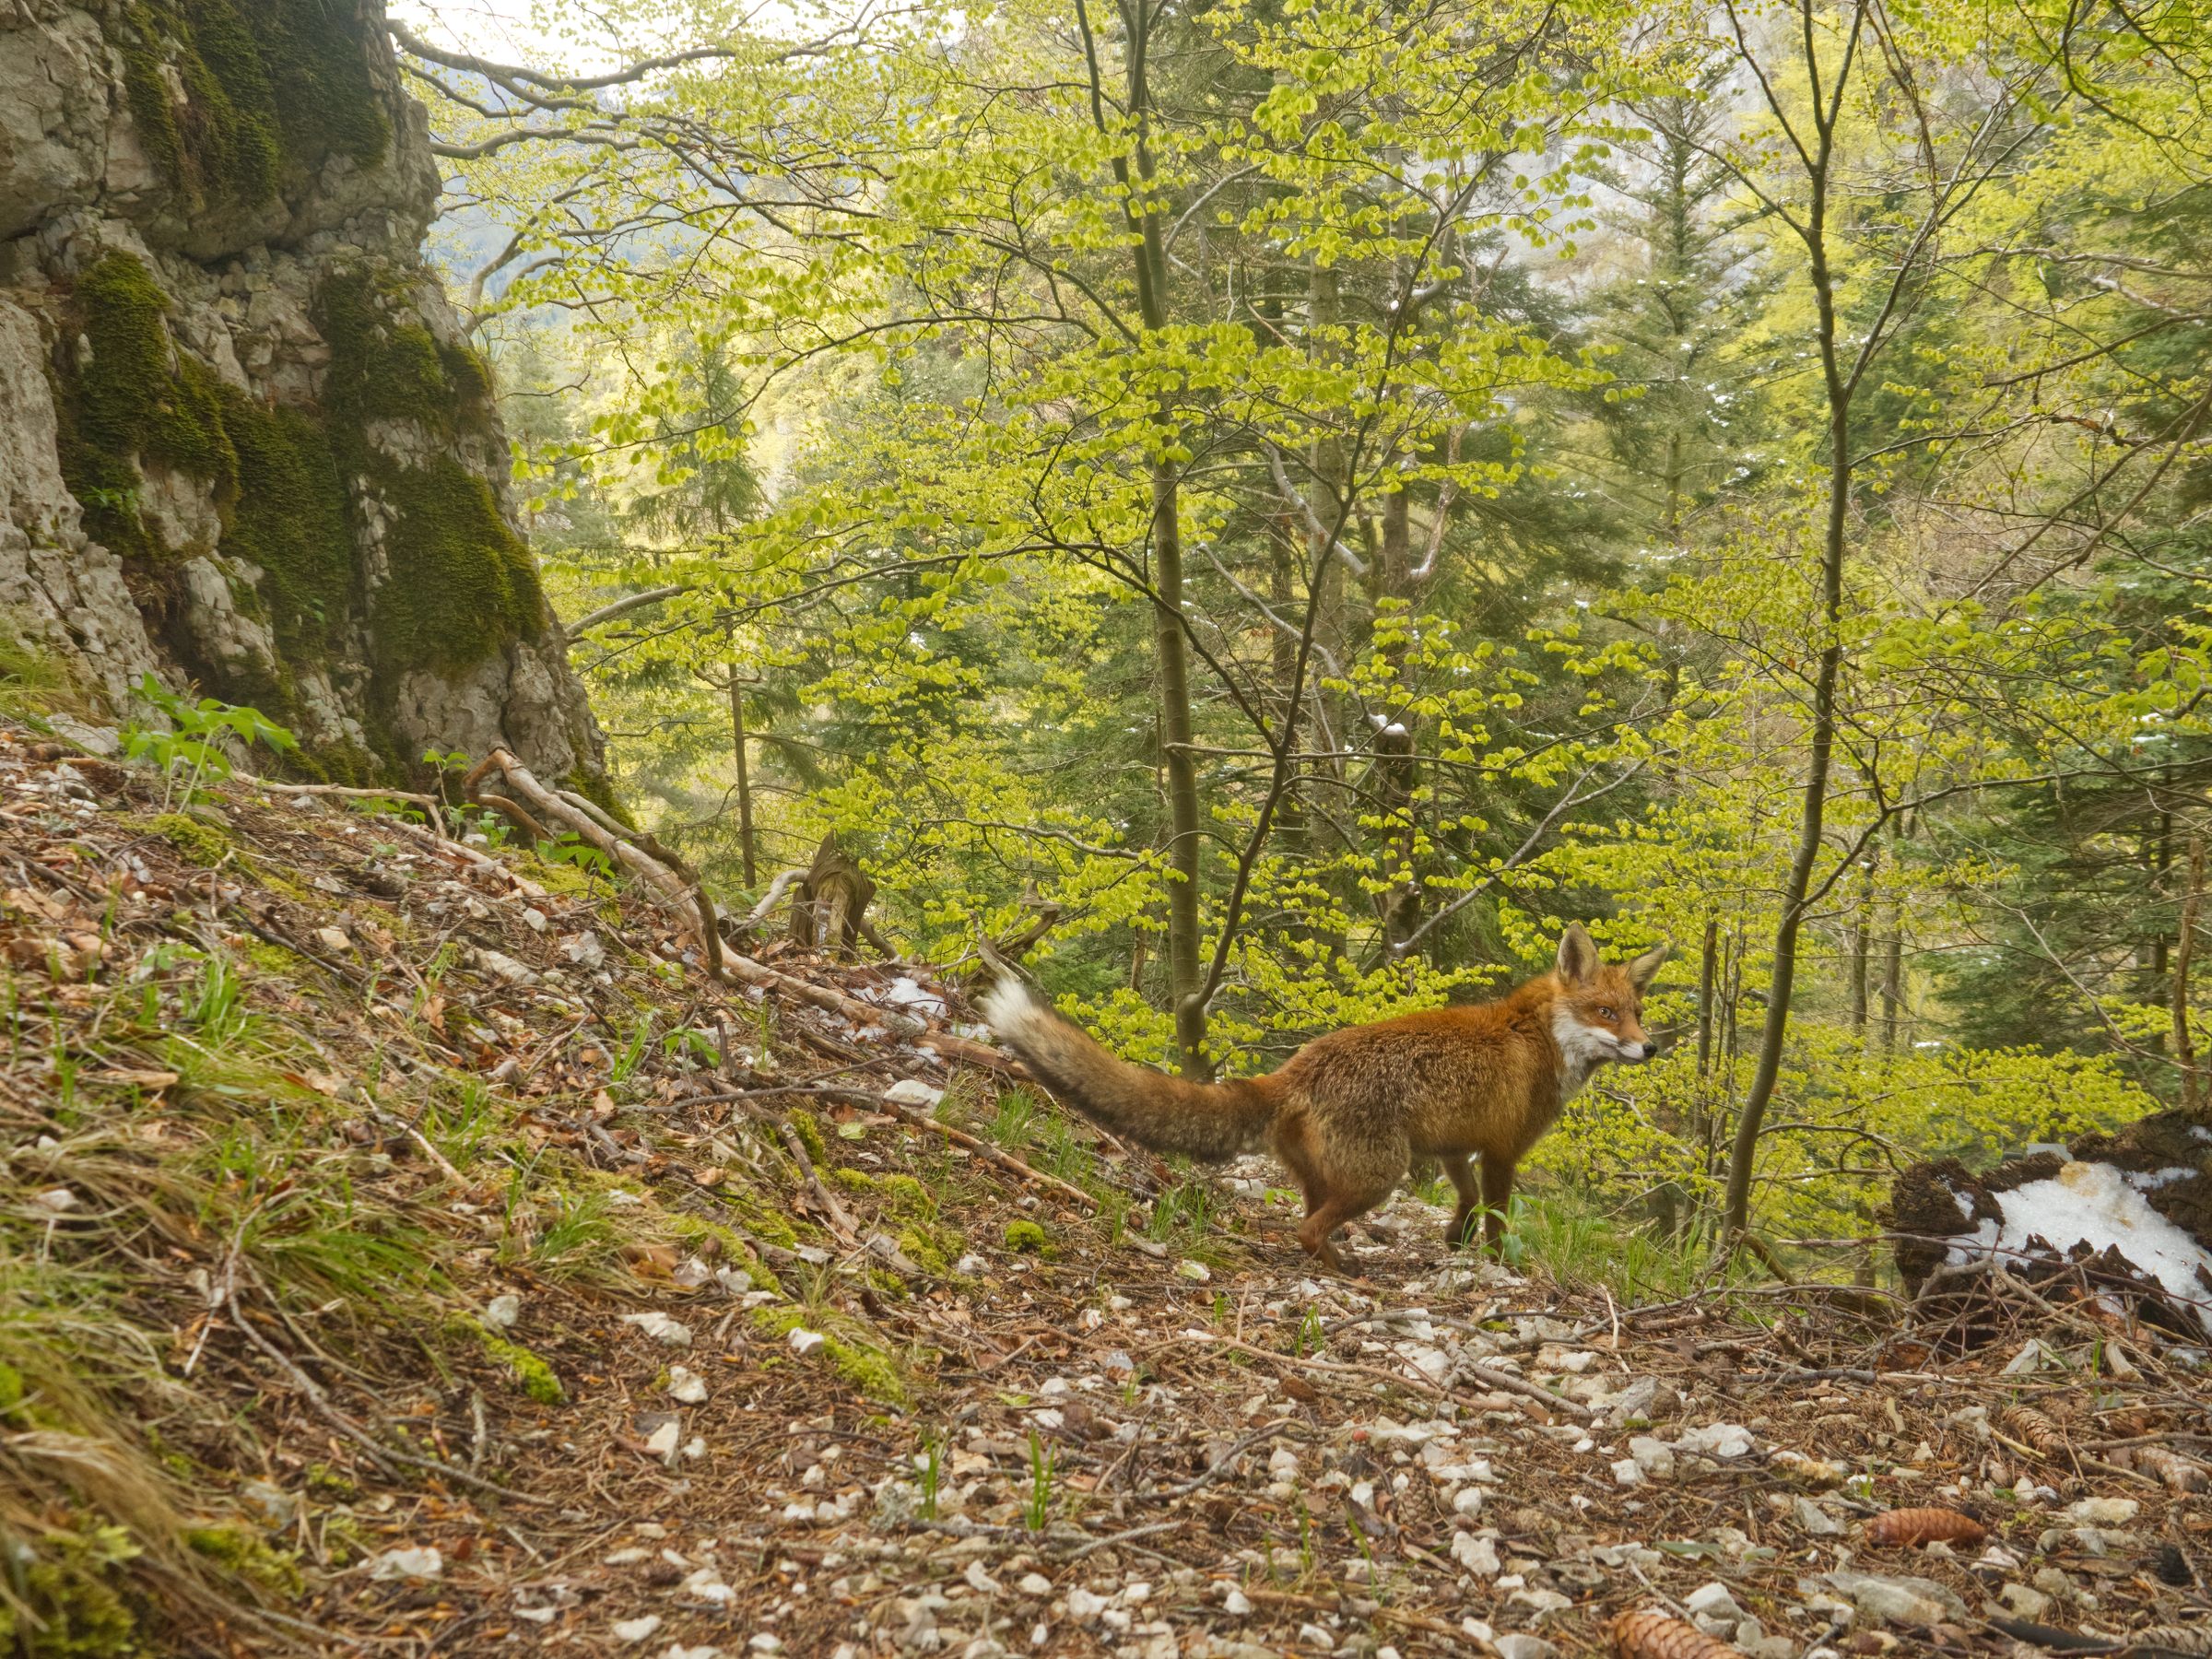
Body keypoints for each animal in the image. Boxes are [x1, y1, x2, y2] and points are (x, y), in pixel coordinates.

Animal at [977, 924, 1663, 1274]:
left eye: (1637, 1012)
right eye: (1606, 1014)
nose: (1650, 1048)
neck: (1540, 1038)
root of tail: (1297, 1067)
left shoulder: (1454, 1149)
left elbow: (1466, 1203)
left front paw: (1453, 1239)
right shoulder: (1502, 1151)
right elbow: (1495, 1218)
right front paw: (1497, 1265)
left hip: (1330, 1174)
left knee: (1302, 1222)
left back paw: (1337, 1257)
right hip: (1380, 1175)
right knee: (1305, 1229)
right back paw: (1341, 1265)